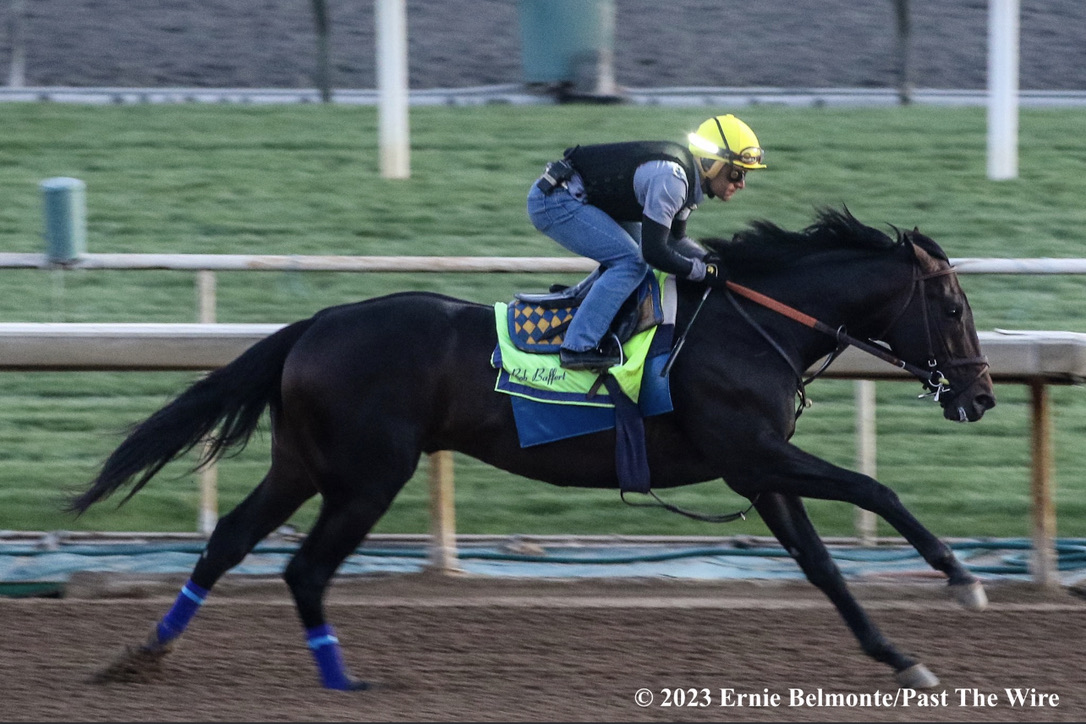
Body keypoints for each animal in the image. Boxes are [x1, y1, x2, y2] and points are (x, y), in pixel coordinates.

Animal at [72, 208, 994, 690]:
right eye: (952, 310)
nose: (980, 395)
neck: (748, 325)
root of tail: (316, 325)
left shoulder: (758, 471)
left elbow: (824, 567)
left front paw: (900, 658)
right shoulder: (756, 455)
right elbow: (878, 491)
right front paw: (960, 578)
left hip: (304, 463)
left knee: (231, 541)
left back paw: (145, 654)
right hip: (368, 474)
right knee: (305, 568)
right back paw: (340, 680)